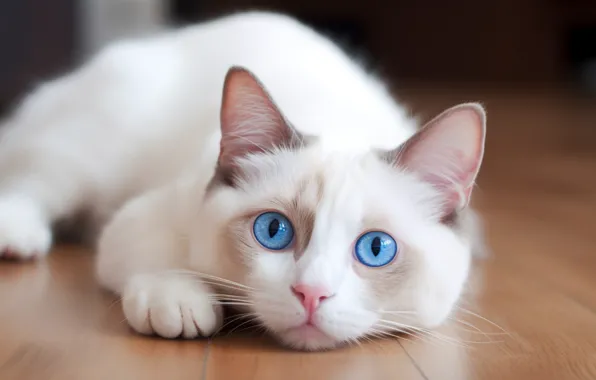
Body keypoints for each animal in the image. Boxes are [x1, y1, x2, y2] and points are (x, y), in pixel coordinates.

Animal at [0, 11, 486, 350]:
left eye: (376, 249)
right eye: (273, 231)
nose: (311, 294)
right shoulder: (139, 219)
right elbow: (156, 258)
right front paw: (180, 303)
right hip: (92, 152)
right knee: (32, 182)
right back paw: (17, 238)